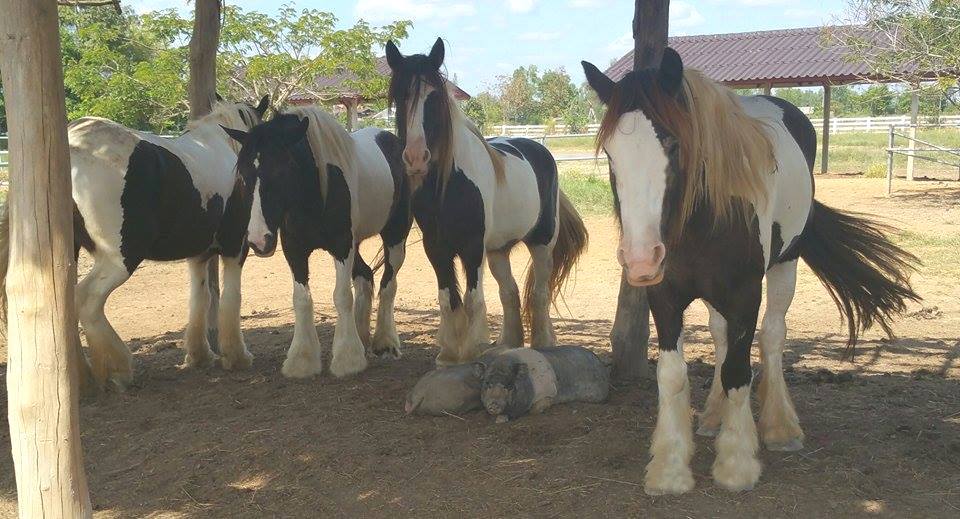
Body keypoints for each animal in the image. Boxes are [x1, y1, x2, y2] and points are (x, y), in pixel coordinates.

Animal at [0, 96, 270, 390]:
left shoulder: (198, 256)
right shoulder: (235, 248)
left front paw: (200, 355)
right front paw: (237, 356)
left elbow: (201, 298)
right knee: (87, 301)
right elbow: (232, 298)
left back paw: (83, 376)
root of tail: (72, 146)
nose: (265, 244)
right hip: (119, 259)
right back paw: (118, 368)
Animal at [223, 106, 412, 378]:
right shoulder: (295, 250)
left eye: (281, 171)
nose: (259, 240)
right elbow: (301, 299)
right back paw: (362, 337)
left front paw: (347, 359)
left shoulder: (342, 247)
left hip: (395, 236)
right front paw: (302, 361)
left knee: (389, 283)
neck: (316, 191)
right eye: (243, 174)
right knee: (365, 276)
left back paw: (385, 342)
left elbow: (342, 296)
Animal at [385, 38, 589, 366]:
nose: (416, 159)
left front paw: (469, 352)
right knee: (510, 292)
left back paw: (543, 342)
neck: (449, 185)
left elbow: (472, 299)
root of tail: (540, 150)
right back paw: (507, 343)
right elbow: (448, 297)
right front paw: (448, 354)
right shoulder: (436, 248)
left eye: (434, 97)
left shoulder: (472, 248)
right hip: (498, 251)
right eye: (399, 96)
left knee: (540, 292)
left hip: (542, 243)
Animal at [582, 48, 920, 494]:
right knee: (721, 336)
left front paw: (736, 463)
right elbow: (673, 374)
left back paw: (780, 428)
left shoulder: (745, 293)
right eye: (611, 153)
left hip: (785, 266)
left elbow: (739, 370)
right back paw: (713, 416)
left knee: (772, 336)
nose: (640, 259)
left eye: (673, 142)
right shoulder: (665, 296)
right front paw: (669, 468)